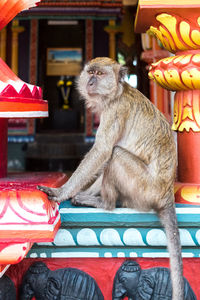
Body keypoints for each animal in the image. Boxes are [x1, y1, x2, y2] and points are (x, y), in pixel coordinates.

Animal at [38, 56, 184, 300]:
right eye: (91, 72)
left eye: (100, 74)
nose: (91, 82)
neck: (116, 93)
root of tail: (166, 193)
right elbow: (102, 157)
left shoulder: (115, 110)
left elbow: (103, 151)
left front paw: (61, 192)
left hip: (144, 188)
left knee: (115, 154)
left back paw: (105, 203)